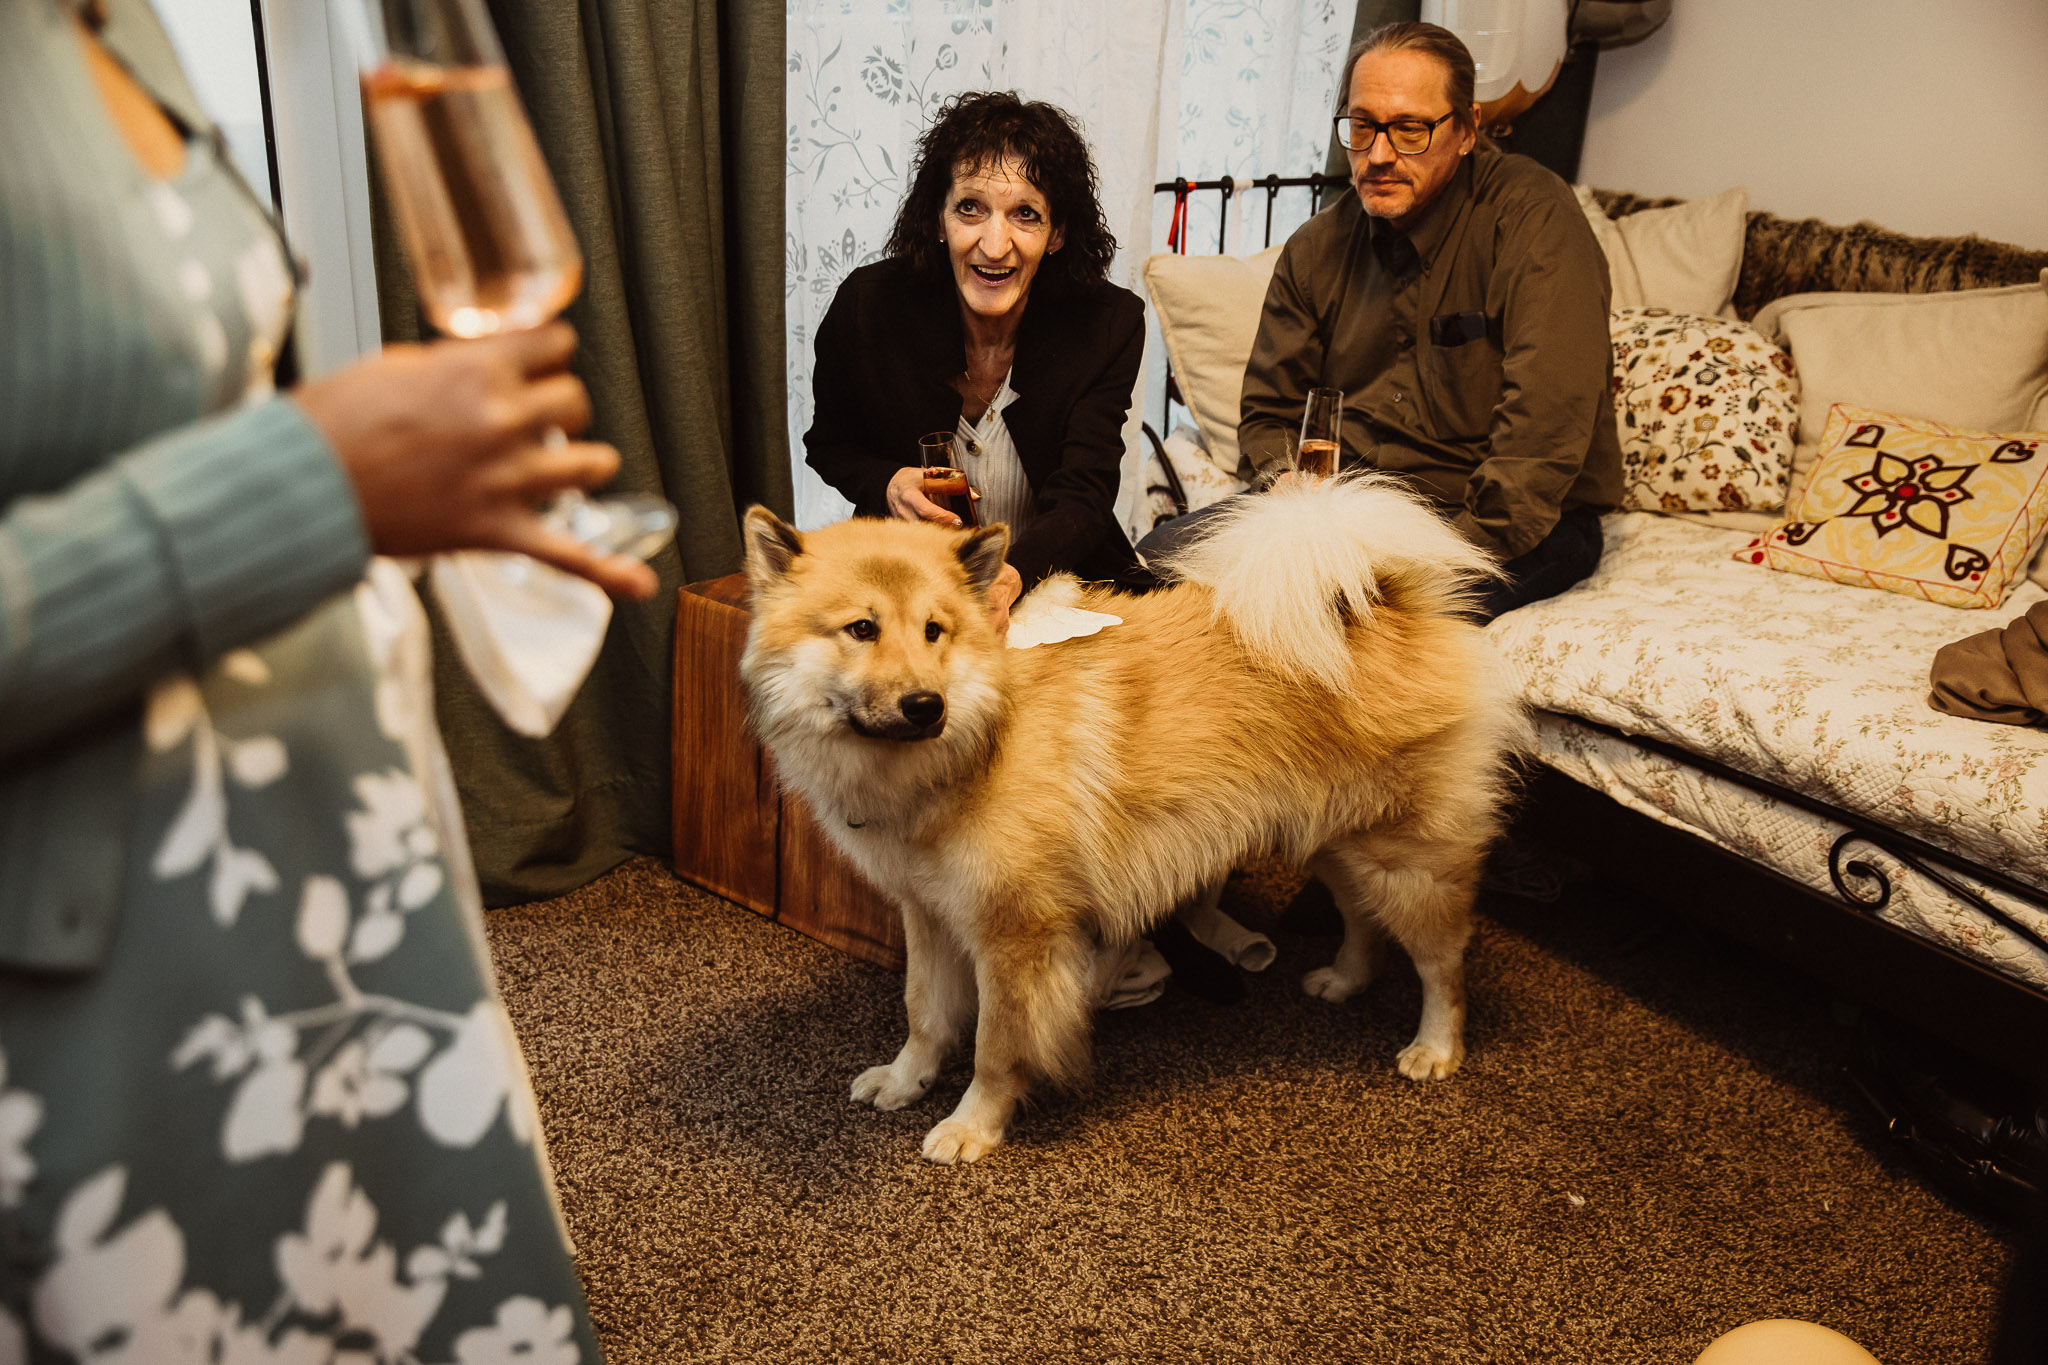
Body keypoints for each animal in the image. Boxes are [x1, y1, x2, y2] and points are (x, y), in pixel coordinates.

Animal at [738, 476, 1527, 1164]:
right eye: (861, 629)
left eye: (935, 631)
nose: (925, 706)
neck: (982, 737)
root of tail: (1383, 607)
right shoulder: (931, 914)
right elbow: (924, 1013)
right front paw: (907, 1081)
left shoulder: (1016, 939)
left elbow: (996, 1046)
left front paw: (973, 1127)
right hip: (1335, 841)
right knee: (1361, 916)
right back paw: (1345, 979)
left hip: (1407, 863)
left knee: (1442, 964)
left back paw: (1436, 1048)